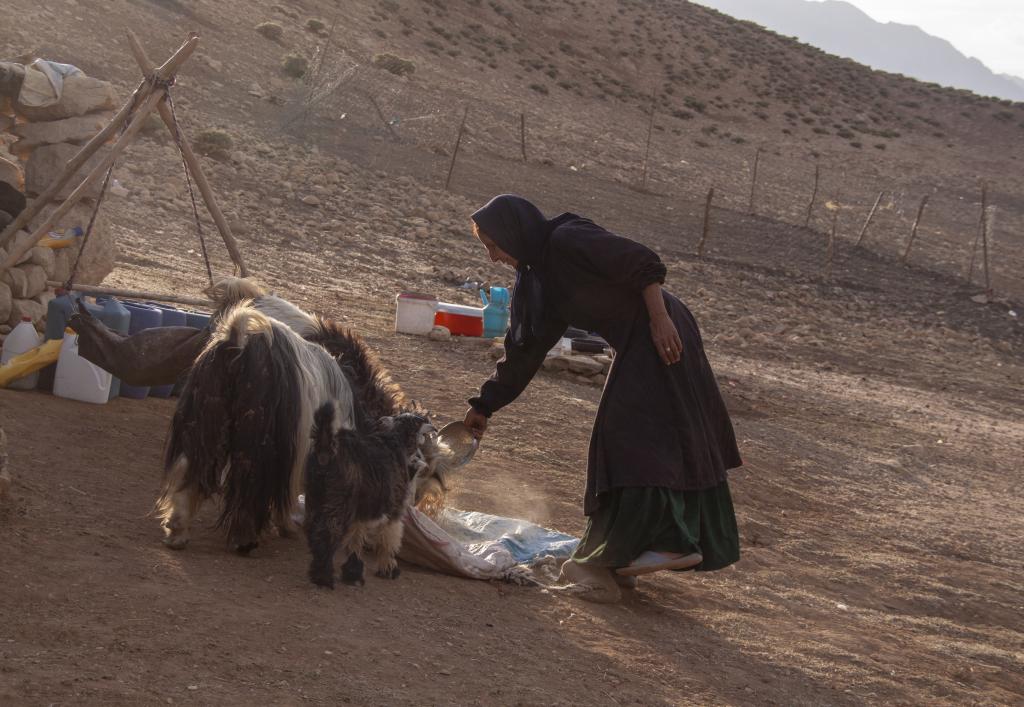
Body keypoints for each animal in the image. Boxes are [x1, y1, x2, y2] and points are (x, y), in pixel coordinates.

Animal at [303, 399, 432, 586]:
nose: (421, 462)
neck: (395, 440)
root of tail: (326, 449)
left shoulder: (362, 509)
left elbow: (355, 540)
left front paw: (353, 572)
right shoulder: (394, 509)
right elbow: (389, 539)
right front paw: (388, 568)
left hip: (315, 498)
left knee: (313, 531)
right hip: (338, 504)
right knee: (328, 533)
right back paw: (323, 577)